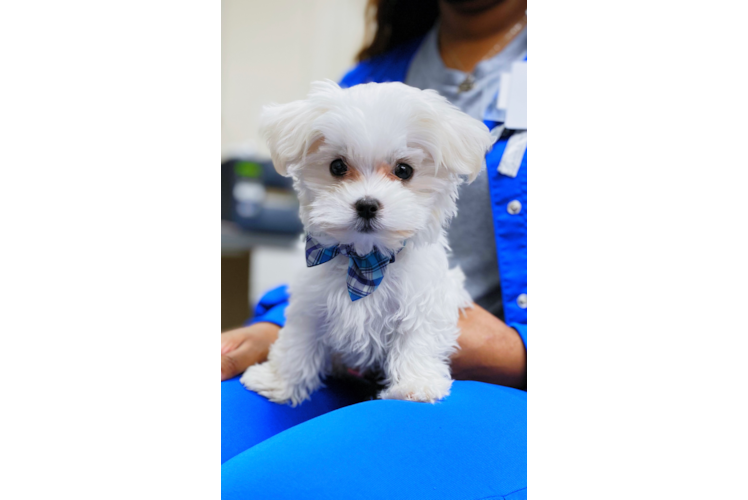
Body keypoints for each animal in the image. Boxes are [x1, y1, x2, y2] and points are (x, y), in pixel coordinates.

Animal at [243, 80, 494, 404]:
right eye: (337, 167)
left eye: (404, 170)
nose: (366, 205)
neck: (366, 261)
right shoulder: (310, 302)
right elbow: (299, 339)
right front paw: (279, 381)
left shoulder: (425, 297)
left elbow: (418, 334)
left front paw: (415, 384)